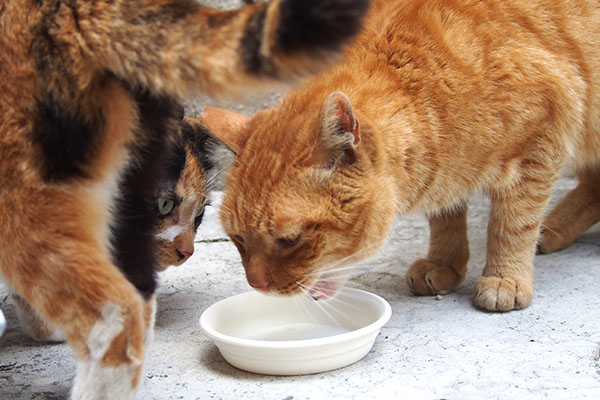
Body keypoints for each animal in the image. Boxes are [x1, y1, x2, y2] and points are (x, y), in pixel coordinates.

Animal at [200, 0, 600, 312]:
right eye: (238, 239)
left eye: (291, 240)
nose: (256, 284)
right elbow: (446, 216)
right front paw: (445, 263)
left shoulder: (541, 141)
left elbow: (512, 224)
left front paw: (505, 277)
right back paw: (553, 229)